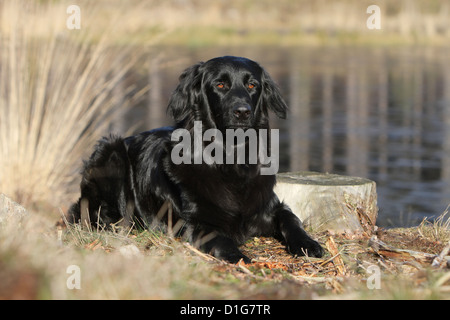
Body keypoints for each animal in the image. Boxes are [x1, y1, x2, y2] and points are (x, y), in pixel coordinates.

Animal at [67, 57, 324, 262]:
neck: (230, 159)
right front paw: (237, 256)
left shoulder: (269, 205)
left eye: (252, 85)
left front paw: (308, 243)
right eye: (220, 85)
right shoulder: (195, 223)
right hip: (111, 150)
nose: (243, 112)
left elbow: (291, 218)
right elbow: (221, 239)